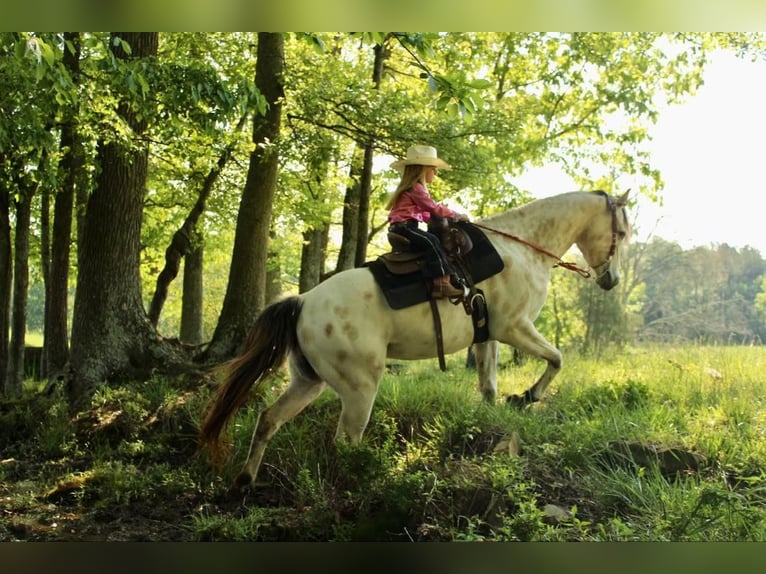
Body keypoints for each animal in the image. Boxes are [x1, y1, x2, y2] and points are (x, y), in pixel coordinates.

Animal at [201, 190, 632, 490]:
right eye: (623, 232)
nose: (611, 281)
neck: (521, 247)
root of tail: (303, 301)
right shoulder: (515, 327)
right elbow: (556, 358)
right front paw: (527, 396)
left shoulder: (489, 335)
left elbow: (489, 385)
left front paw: (491, 419)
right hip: (359, 389)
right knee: (346, 440)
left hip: (308, 382)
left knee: (269, 420)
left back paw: (245, 481)